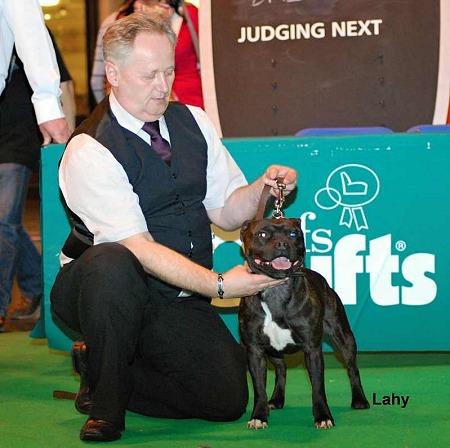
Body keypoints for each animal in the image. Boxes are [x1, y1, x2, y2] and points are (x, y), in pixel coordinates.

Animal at [238, 217, 369, 430]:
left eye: (293, 234)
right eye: (262, 234)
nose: (282, 244)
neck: (276, 290)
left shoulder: (312, 349)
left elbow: (318, 387)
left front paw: (323, 416)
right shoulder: (255, 351)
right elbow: (258, 388)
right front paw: (259, 415)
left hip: (344, 336)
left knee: (352, 367)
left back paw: (359, 400)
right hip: (273, 351)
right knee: (281, 369)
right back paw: (276, 399)